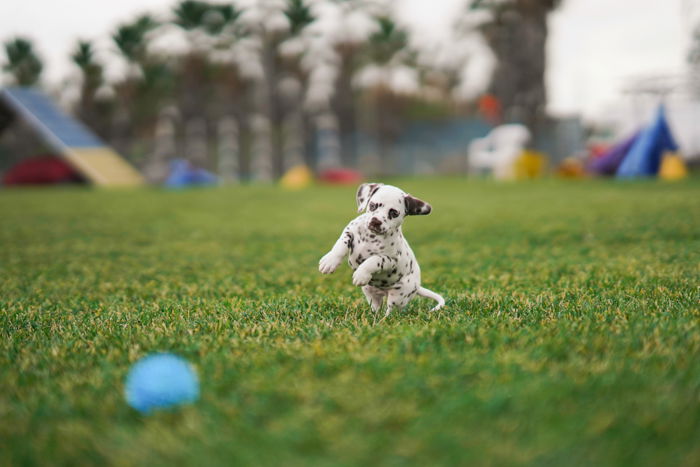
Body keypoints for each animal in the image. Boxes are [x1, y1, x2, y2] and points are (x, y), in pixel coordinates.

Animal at [318, 183, 442, 318]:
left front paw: (361, 273)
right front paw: (330, 261)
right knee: (376, 307)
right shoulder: (349, 231)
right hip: (369, 292)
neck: (371, 236)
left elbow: (374, 260)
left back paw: (384, 320)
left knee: (391, 311)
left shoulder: (390, 259)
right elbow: (341, 244)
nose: (375, 221)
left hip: (398, 297)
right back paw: (373, 316)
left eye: (394, 213)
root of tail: (417, 286)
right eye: (372, 205)